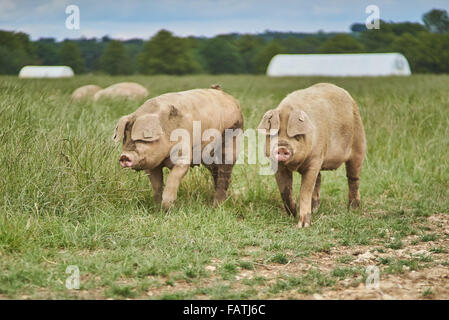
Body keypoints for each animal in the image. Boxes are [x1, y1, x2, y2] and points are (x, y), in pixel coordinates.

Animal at [114, 85, 243, 210]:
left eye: (141, 140)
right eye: (125, 138)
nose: (124, 156)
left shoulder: (184, 155)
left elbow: (173, 177)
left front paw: (167, 208)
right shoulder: (152, 165)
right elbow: (156, 185)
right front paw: (157, 209)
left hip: (232, 140)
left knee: (224, 175)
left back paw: (216, 207)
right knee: (216, 173)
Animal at [258, 82, 366, 228]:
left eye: (296, 136)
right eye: (274, 134)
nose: (282, 147)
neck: (294, 165)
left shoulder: (315, 159)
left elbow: (305, 191)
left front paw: (303, 225)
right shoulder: (278, 166)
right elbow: (285, 191)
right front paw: (293, 213)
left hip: (358, 144)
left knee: (353, 178)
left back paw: (352, 209)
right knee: (319, 179)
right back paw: (315, 209)